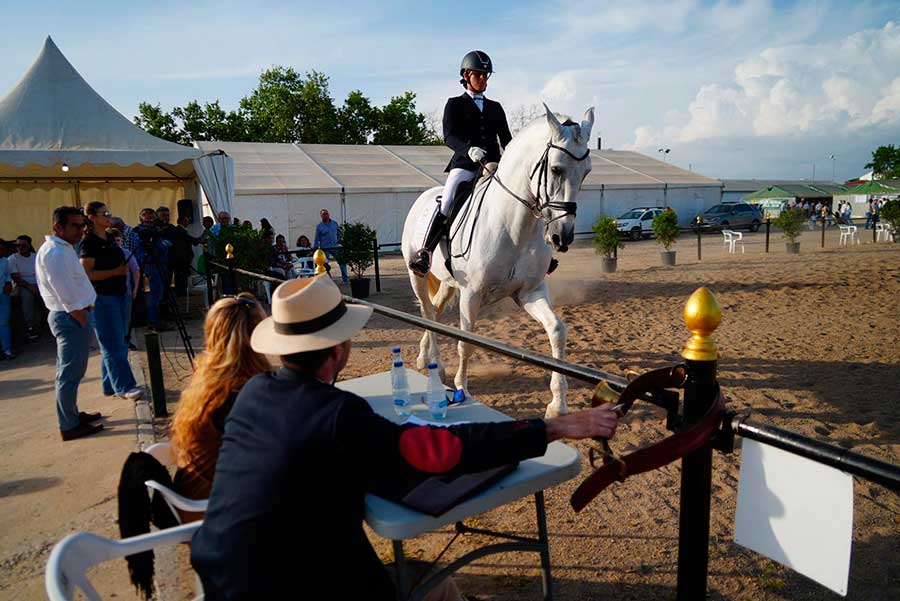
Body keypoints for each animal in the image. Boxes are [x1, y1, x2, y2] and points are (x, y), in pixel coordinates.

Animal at [404, 104, 596, 418]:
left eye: (586, 172)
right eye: (556, 169)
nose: (562, 237)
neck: (513, 227)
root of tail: (424, 197)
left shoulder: (529, 292)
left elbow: (557, 331)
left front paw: (558, 404)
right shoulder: (471, 295)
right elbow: (466, 344)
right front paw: (463, 390)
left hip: (447, 283)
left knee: (433, 311)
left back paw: (426, 358)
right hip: (417, 275)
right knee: (428, 313)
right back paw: (436, 364)